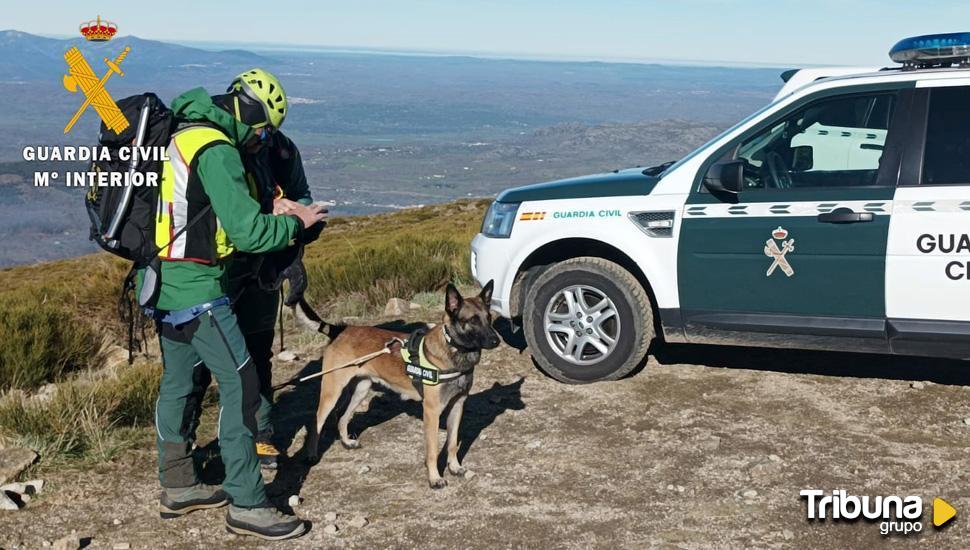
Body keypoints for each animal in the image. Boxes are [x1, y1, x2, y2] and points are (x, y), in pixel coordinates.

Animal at [294, 282, 500, 490]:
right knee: (317, 420)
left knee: (342, 416)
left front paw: (455, 467)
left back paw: (346, 442)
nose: (496, 340)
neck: (454, 351)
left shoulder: (457, 405)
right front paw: (434, 478)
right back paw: (311, 454)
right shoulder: (432, 411)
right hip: (332, 392)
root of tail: (340, 329)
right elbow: (433, 450)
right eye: (473, 320)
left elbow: (452, 443)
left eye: (489, 317)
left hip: (361, 389)